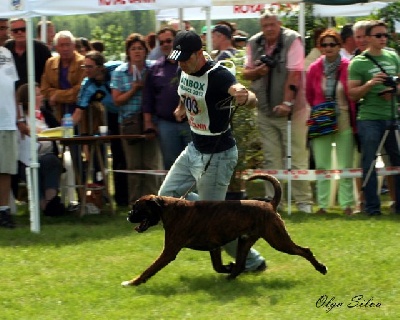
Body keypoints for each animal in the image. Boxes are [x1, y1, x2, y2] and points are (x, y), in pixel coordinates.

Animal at [122, 174, 328, 286]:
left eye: (137, 208)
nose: (128, 215)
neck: (169, 209)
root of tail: (269, 204)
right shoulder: (214, 247)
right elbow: (218, 266)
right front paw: (227, 267)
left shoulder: (169, 252)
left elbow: (149, 269)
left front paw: (133, 282)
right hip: (246, 242)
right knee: (241, 264)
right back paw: (230, 277)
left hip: (278, 240)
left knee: (304, 250)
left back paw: (321, 268)